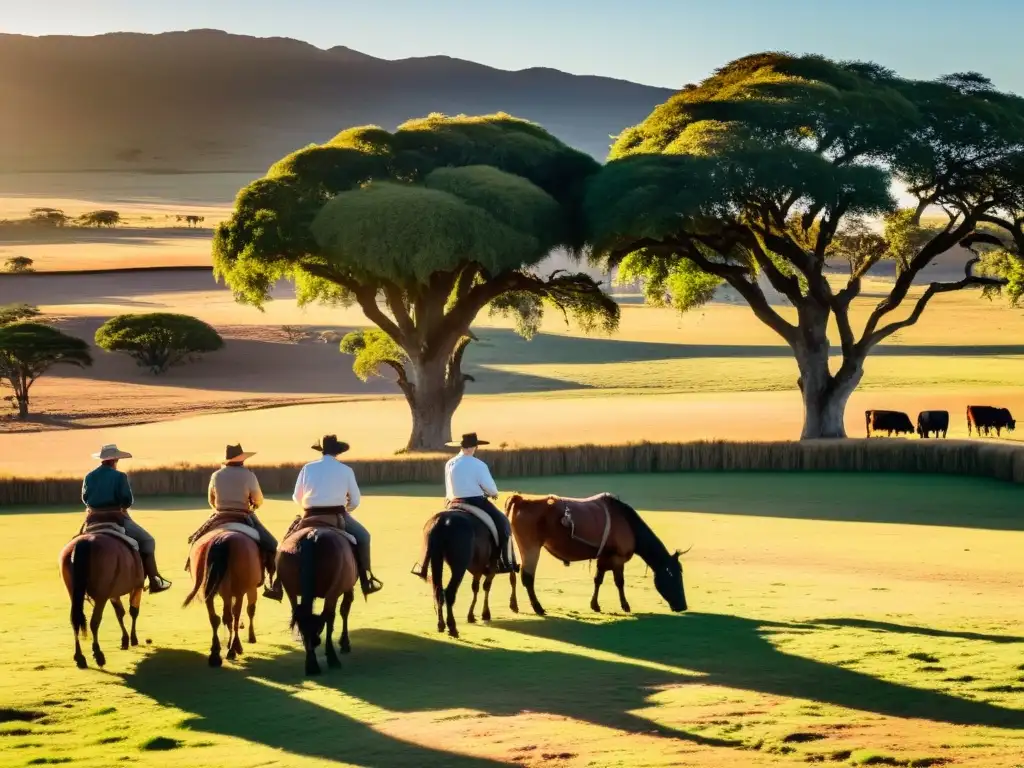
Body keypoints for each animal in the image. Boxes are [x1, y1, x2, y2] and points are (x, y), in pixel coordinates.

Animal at [58, 514, 145, 671]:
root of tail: (84, 542)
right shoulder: (137, 587)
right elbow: (132, 611)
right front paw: (133, 639)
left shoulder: (113, 593)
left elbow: (120, 613)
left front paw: (125, 640)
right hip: (102, 594)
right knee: (95, 621)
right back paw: (98, 655)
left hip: (74, 592)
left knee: (75, 620)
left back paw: (80, 658)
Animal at [184, 528, 264, 667]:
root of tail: (222, 539)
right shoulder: (250, 588)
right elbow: (249, 610)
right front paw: (250, 638)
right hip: (235, 589)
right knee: (233, 615)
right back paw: (233, 648)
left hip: (212, 587)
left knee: (216, 617)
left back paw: (215, 653)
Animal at [278, 514, 358, 675]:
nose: (315, 641)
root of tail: (311, 535)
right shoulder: (346, 587)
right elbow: (343, 611)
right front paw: (344, 644)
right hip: (334, 588)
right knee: (329, 615)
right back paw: (332, 658)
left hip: (290, 589)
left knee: (301, 614)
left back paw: (311, 663)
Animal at [413, 507, 516, 638]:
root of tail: (440, 522)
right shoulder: (491, 566)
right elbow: (486, 587)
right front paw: (485, 614)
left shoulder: (478, 569)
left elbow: (476, 587)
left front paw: (472, 616)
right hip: (459, 566)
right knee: (449, 592)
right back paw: (452, 627)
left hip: (436, 559)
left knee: (438, 591)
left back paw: (441, 625)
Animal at [503, 495, 688, 618]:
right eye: (675, 578)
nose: (683, 606)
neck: (628, 523)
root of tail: (521, 499)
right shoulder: (618, 558)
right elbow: (619, 582)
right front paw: (625, 605)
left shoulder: (604, 557)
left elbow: (598, 579)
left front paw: (595, 604)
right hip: (531, 547)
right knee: (527, 578)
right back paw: (537, 607)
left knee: (514, 573)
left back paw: (514, 604)